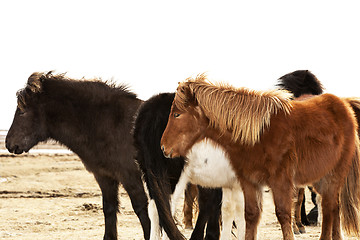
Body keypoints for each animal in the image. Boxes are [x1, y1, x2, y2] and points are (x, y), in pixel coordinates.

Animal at [5, 72, 149, 240]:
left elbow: (141, 208)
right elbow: (109, 208)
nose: (8, 143)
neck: (110, 123)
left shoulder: (129, 174)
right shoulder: (105, 176)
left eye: (22, 112)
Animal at [160, 75, 360, 240]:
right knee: (333, 207)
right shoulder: (249, 182)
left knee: (329, 207)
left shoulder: (280, 181)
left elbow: (283, 214)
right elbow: (251, 215)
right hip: (321, 179)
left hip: (334, 175)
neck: (258, 135)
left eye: (177, 114)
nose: (163, 147)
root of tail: (344, 106)